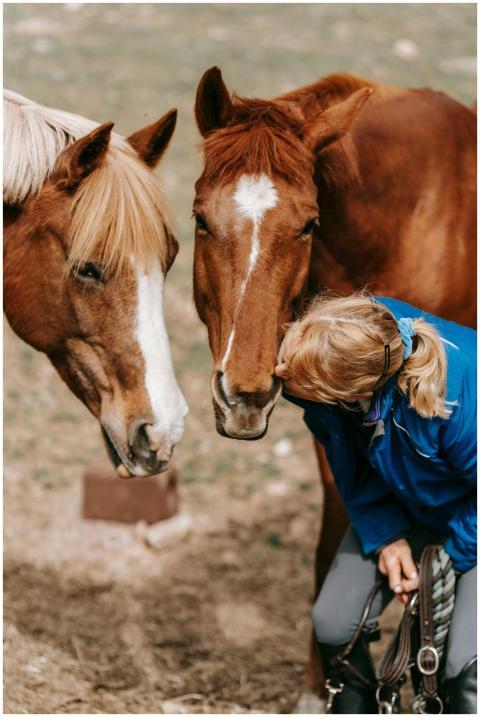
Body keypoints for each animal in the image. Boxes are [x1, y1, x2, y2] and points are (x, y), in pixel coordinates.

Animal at [192, 67, 476, 708]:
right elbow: (334, 539)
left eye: (308, 224)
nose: (243, 398)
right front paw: (316, 685)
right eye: (199, 218)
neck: (414, 219)